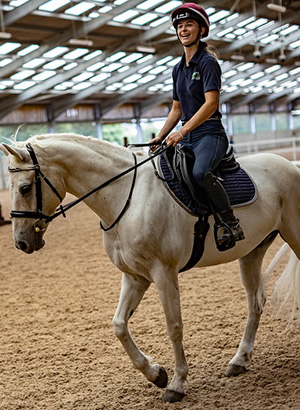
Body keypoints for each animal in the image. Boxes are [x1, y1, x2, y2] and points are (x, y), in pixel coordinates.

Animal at [0, 133, 300, 402]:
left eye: (25, 188)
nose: (21, 242)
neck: (125, 197)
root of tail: (290, 165)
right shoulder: (135, 276)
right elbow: (119, 325)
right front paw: (156, 374)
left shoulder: (163, 273)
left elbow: (174, 326)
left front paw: (177, 385)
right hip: (251, 253)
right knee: (255, 302)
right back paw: (239, 360)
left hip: (293, 237)